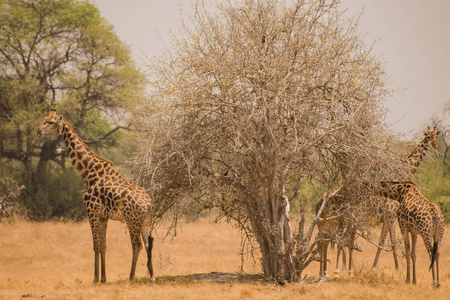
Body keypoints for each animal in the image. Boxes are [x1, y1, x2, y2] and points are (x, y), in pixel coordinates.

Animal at [36, 109, 155, 284]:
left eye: (51, 122)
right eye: (44, 120)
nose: (38, 131)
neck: (88, 172)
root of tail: (148, 204)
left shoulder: (91, 211)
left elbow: (95, 245)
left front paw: (95, 278)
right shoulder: (103, 216)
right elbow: (103, 245)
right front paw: (103, 278)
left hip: (132, 220)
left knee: (137, 245)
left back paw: (131, 278)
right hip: (146, 221)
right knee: (148, 243)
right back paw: (152, 277)